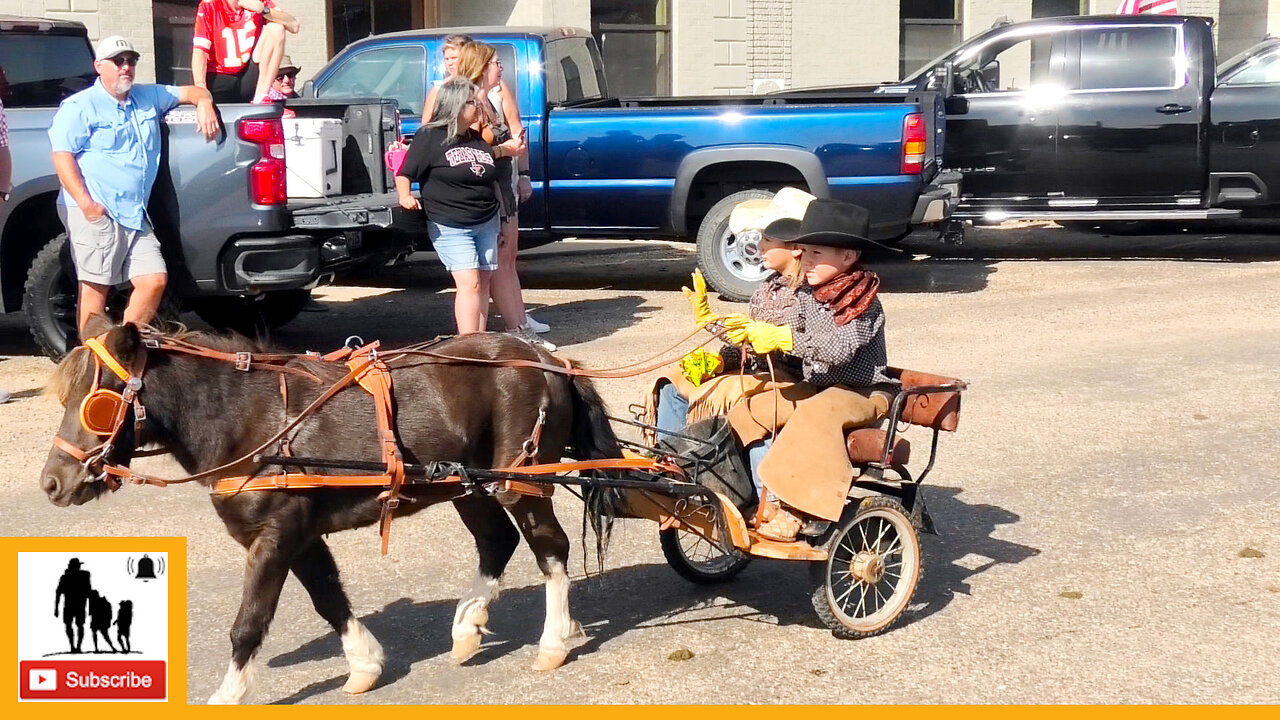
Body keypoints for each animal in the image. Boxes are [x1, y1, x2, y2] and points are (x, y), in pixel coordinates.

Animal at [38, 317, 619, 702]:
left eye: (95, 402)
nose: (52, 482)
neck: (250, 418)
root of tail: (549, 360)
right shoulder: (298, 534)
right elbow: (327, 596)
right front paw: (365, 664)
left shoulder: (274, 535)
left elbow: (249, 622)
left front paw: (227, 695)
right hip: (467, 485)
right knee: (497, 542)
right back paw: (468, 627)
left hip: (519, 481)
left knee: (550, 549)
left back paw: (552, 641)